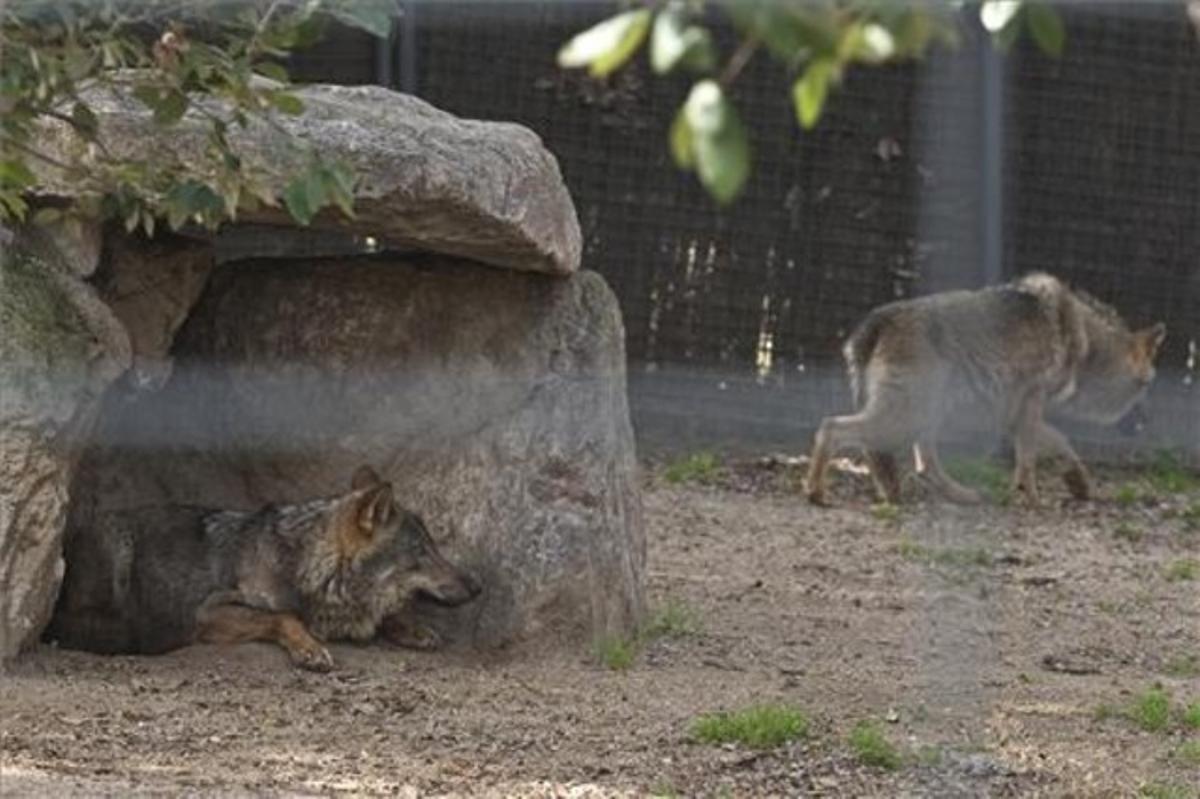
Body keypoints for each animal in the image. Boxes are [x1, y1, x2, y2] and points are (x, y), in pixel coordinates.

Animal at [50, 463, 482, 667]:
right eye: (422, 551)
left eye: (434, 546)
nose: (478, 587)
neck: (313, 571)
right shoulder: (209, 611)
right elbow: (284, 617)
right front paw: (310, 649)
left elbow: (385, 614)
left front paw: (412, 627)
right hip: (117, 544)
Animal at [806, 271, 1161, 501]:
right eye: (1145, 387)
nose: (1146, 424)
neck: (1084, 342)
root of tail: (875, 322)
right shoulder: (1031, 405)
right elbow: (1031, 457)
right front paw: (1032, 497)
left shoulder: (1017, 413)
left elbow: (1061, 443)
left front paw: (1079, 484)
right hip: (904, 418)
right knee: (831, 427)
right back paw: (816, 492)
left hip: (923, 417)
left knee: (922, 464)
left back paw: (958, 495)